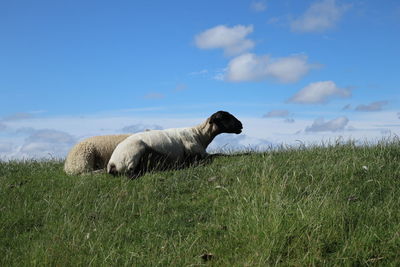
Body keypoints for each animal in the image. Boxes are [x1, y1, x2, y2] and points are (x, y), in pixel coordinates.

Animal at [108, 111, 242, 178]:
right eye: (225, 117)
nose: (241, 124)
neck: (199, 135)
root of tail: (112, 163)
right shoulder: (199, 154)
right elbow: (218, 155)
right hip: (134, 152)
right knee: (130, 174)